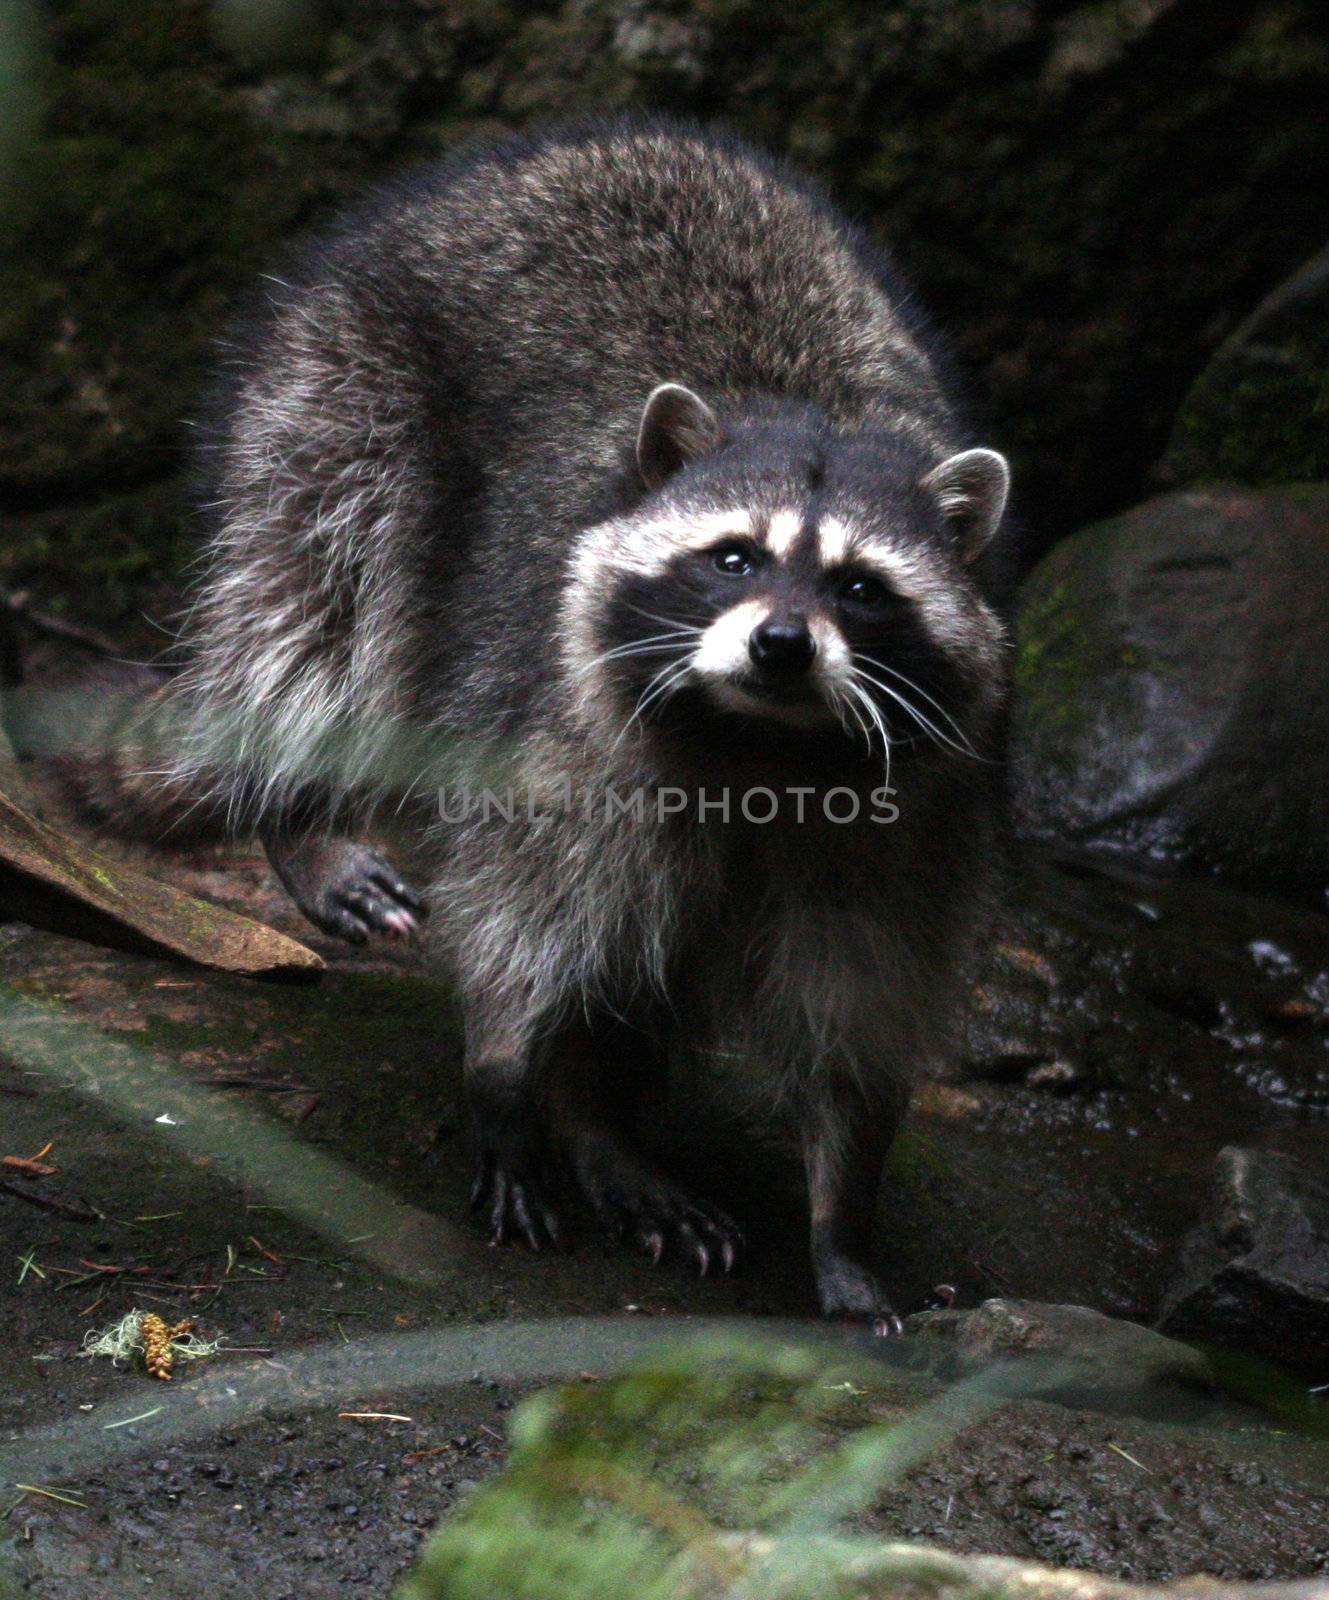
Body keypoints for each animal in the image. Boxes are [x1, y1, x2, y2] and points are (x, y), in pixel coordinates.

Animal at [174, 118, 1017, 1331]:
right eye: (733, 559)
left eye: (861, 587)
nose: (781, 645)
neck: (757, 739)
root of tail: (565, 141)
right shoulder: (556, 727)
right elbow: (524, 915)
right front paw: (507, 1075)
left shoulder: (916, 817)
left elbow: (856, 999)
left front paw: (843, 1211)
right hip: (337, 388)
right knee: (314, 598)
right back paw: (300, 813)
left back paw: (604, 1128)